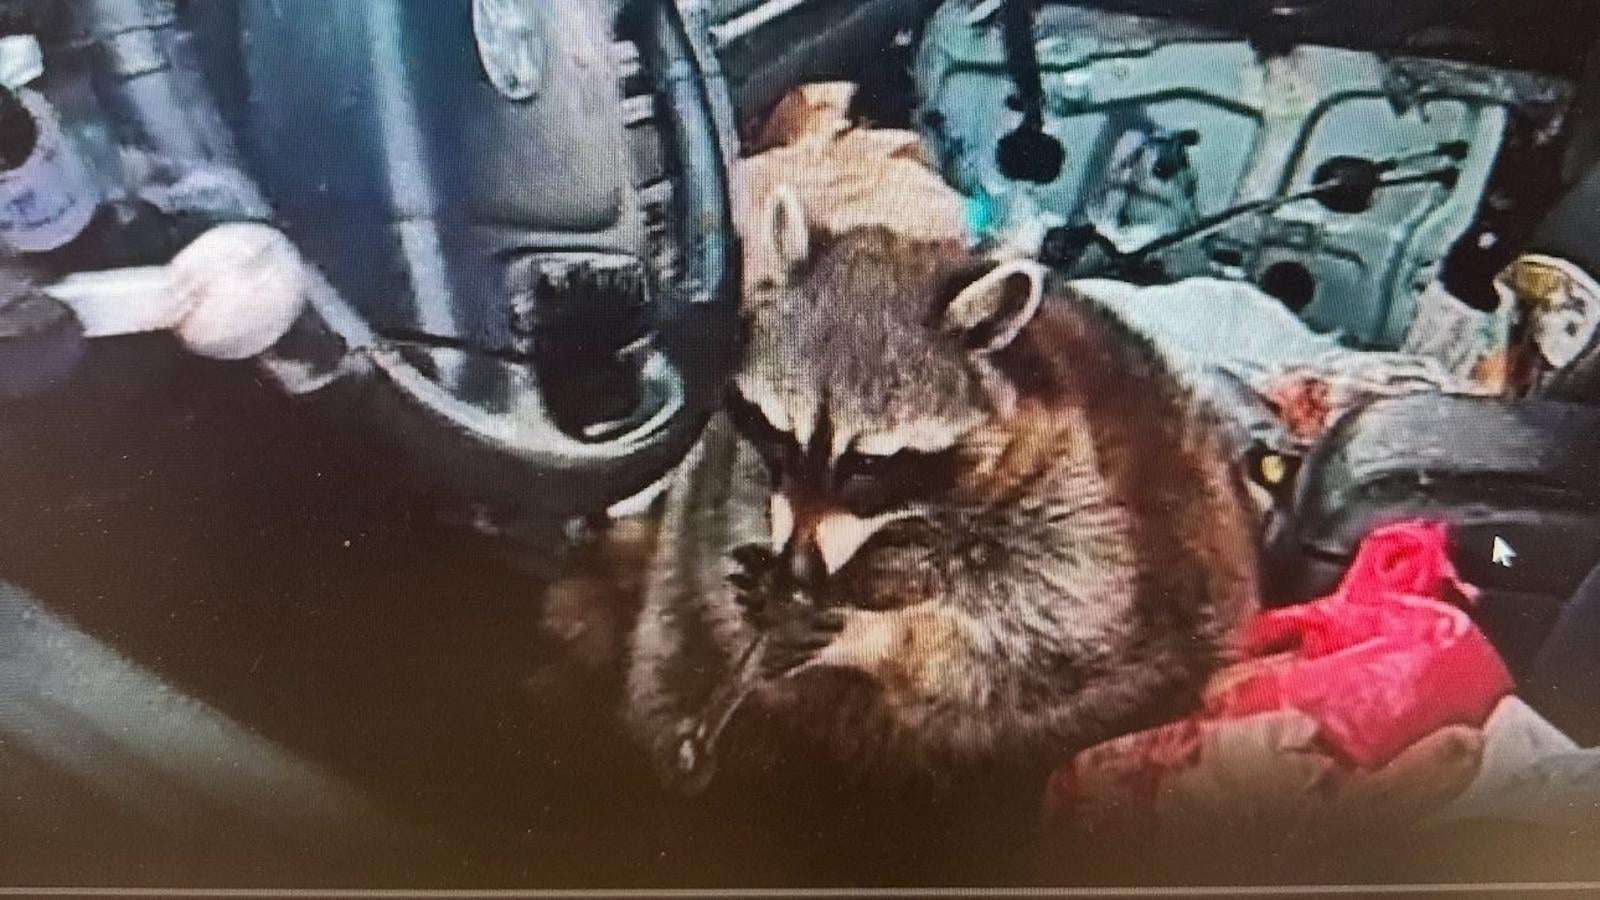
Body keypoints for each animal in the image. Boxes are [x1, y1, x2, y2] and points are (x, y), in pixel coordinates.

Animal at [623, 186, 1260, 804]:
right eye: (780, 434)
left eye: (868, 464)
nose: (799, 571)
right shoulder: (736, 470)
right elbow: (729, 523)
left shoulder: (1084, 501)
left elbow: (1034, 632)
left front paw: (876, 630)